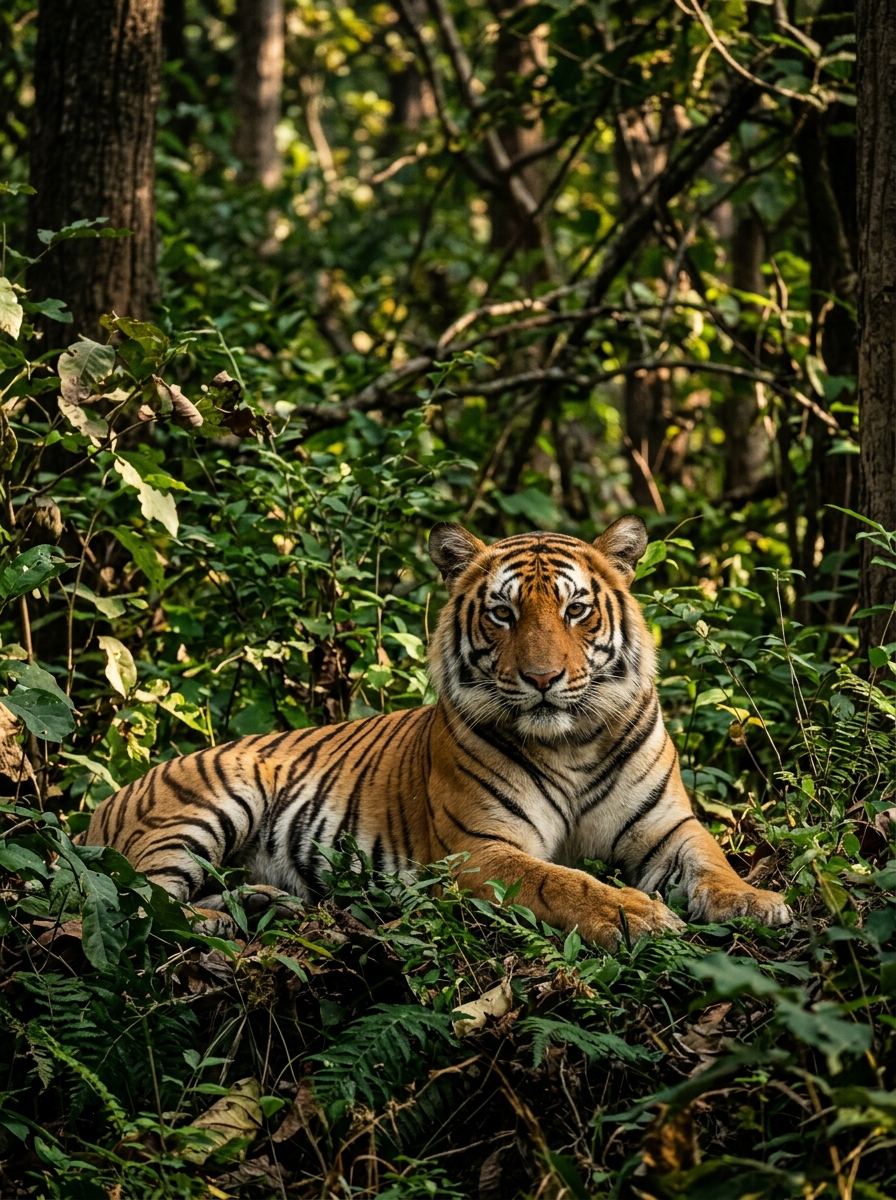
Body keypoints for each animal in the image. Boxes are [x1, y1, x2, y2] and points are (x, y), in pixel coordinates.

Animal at [85, 516, 791, 949]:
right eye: (503, 614)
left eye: (576, 610)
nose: (542, 677)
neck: (571, 742)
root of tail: (102, 805)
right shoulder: (480, 848)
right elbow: (561, 880)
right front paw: (633, 913)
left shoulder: (667, 827)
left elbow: (713, 861)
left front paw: (757, 902)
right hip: (209, 805)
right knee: (134, 901)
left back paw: (261, 904)